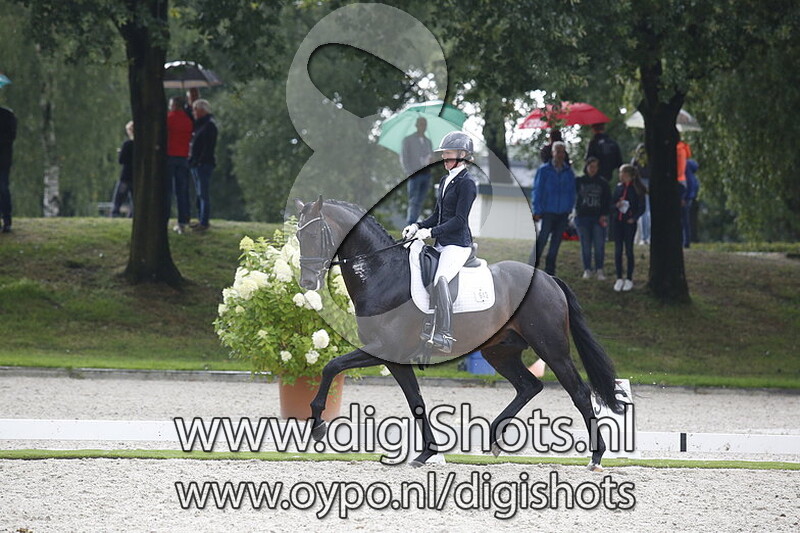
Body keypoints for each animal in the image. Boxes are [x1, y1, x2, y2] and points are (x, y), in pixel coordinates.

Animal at [294, 196, 623, 470]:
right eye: (298, 237)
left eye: (313, 236)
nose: (307, 282)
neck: (382, 273)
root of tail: (549, 279)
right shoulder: (393, 358)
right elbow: (416, 401)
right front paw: (427, 453)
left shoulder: (384, 348)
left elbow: (331, 366)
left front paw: (318, 423)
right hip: (500, 351)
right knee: (529, 386)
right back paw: (493, 439)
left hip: (551, 348)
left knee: (579, 392)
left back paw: (596, 457)